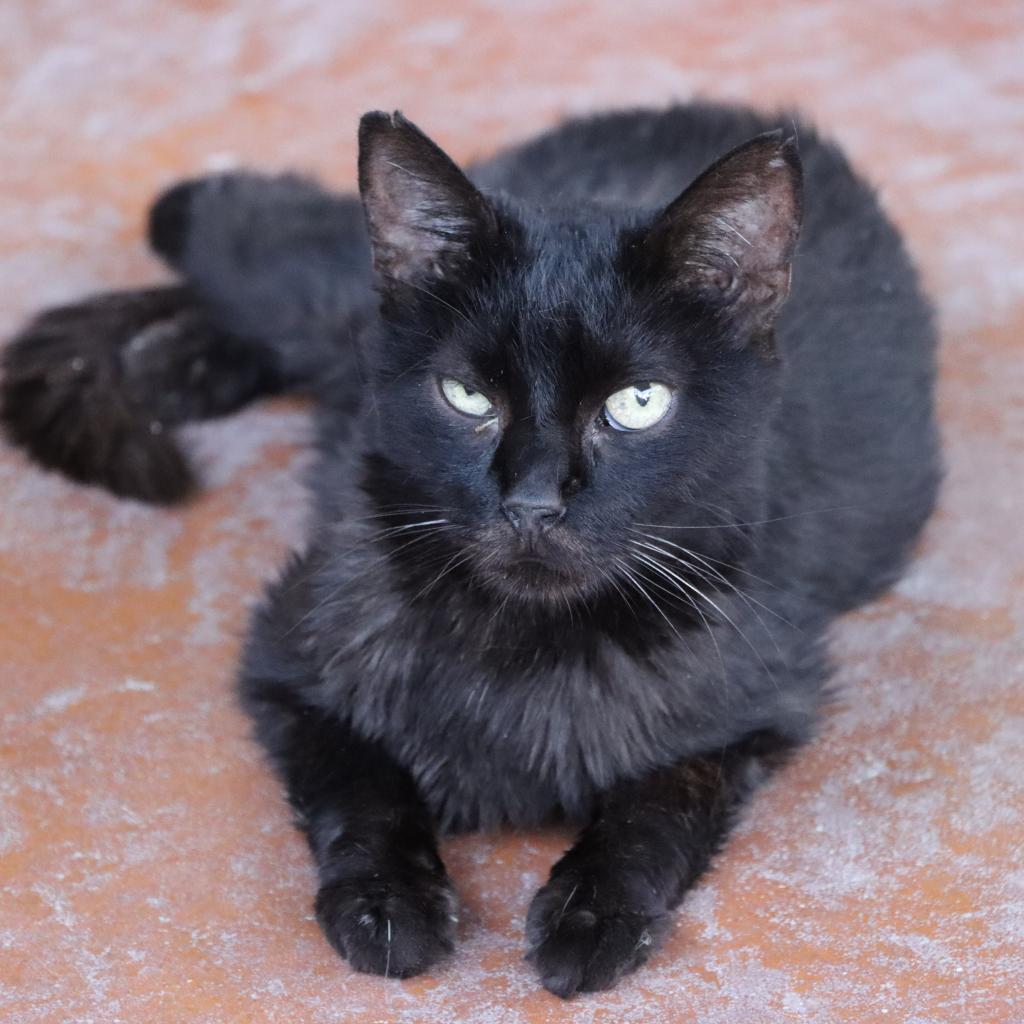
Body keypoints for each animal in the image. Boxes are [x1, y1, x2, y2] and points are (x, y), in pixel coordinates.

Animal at [0, 105, 937, 999]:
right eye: (467, 397)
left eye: (638, 402)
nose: (532, 502)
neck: (525, 646)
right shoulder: (288, 651)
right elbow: (357, 779)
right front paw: (385, 901)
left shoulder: (759, 695)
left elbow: (662, 800)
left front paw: (595, 912)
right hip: (290, 274)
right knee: (214, 224)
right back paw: (168, 368)